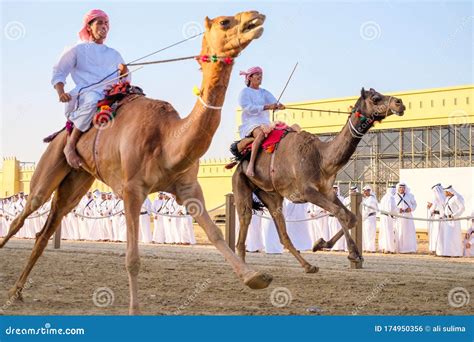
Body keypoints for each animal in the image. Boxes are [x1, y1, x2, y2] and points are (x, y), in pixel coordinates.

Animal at [0, 11, 274, 316]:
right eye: (225, 22)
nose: (256, 16)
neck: (167, 138)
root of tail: (62, 133)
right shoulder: (132, 189)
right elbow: (132, 258)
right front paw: (134, 309)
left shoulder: (188, 188)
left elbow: (215, 233)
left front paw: (255, 277)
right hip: (49, 167)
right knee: (22, 216)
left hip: (76, 182)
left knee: (45, 231)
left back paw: (17, 291)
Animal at [231, 88, 406, 272]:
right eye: (375, 98)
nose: (399, 103)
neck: (322, 158)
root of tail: (240, 161)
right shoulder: (307, 191)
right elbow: (339, 212)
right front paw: (353, 254)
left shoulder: (327, 190)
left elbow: (351, 217)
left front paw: (320, 244)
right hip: (241, 181)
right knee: (245, 217)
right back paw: (244, 268)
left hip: (271, 194)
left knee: (281, 230)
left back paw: (308, 266)